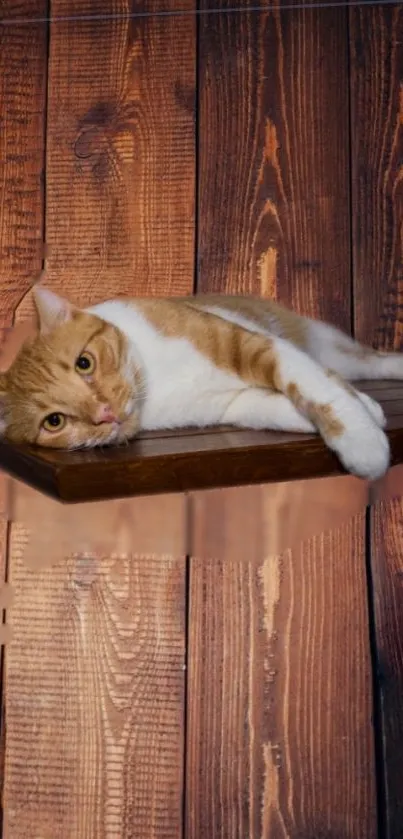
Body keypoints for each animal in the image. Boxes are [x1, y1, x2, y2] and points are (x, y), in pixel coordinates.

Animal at [0, 288, 400, 482]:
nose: (105, 413)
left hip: (331, 347)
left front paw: (362, 441)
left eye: (84, 363)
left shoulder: (250, 343)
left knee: (369, 359)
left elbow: (315, 385)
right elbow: (275, 407)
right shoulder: (234, 404)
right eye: (54, 422)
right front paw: (366, 411)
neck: (153, 378)